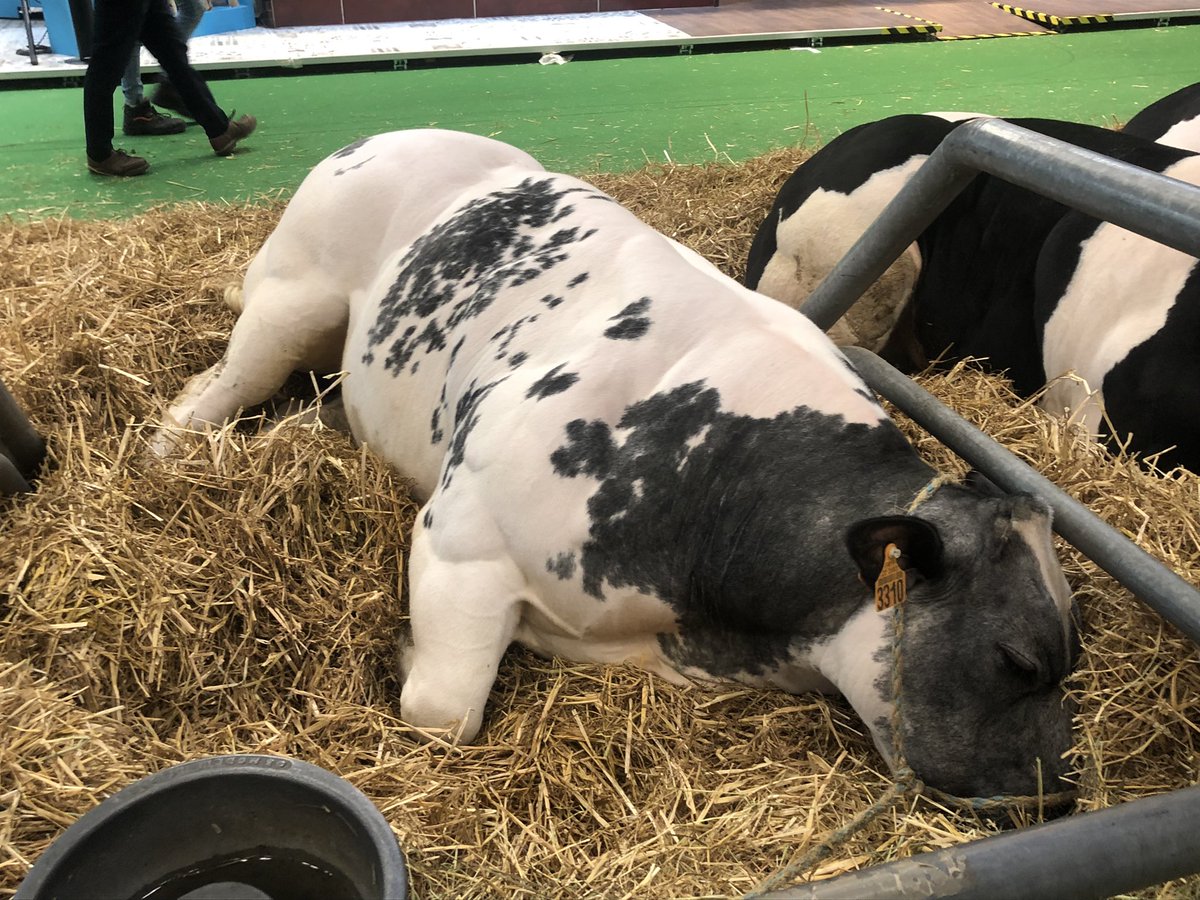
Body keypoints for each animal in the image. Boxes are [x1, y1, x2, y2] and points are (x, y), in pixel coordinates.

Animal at [154, 129, 1078, 800]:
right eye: (1020, 660)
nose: (1057, 797)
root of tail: (383, 135)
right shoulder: (462, 538)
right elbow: (443, 711)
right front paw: (405, 657)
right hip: (289, 300)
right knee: (204, 392)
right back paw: (167, 451)